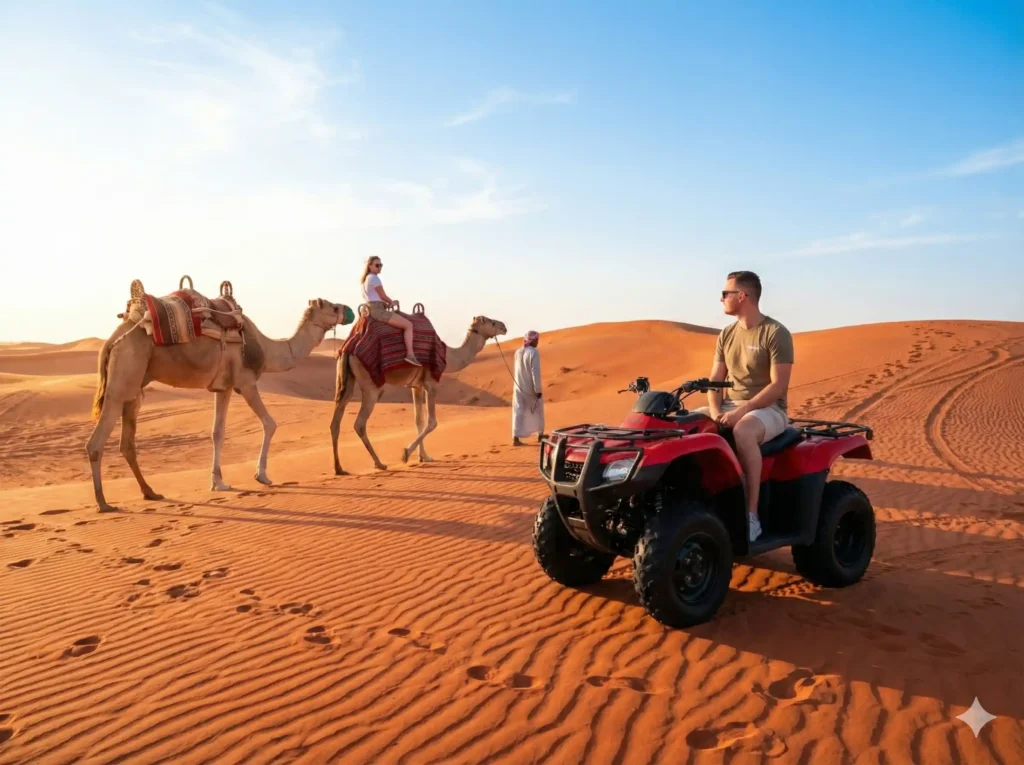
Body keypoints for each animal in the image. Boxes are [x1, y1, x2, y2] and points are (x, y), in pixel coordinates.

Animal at [88, 297, 350, 512]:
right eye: (333, 307)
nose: (348, 310)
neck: (266, 348)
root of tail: (112, 340)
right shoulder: (245, 382)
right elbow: (270, 423)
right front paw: (262, 476)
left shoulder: (223, 387)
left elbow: (217, 432)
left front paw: (218, 482)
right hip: (123, 375)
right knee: (96, 441)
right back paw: (103, 503)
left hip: (135, 386)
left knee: (127, 442)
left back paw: (150, 493)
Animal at [330, 314, 507, 474]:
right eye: (492, 322)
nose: (504, 327)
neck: (448, 356)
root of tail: (350, 348)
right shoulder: (431, 383)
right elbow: (432, 422)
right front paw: (406, 453)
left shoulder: (417, 386)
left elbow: (418, 420)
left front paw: (424, 457)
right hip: (371, 384)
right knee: (359, 423)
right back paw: (379, 463)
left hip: (346, 378)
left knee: (336, 421)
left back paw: (339, 468)